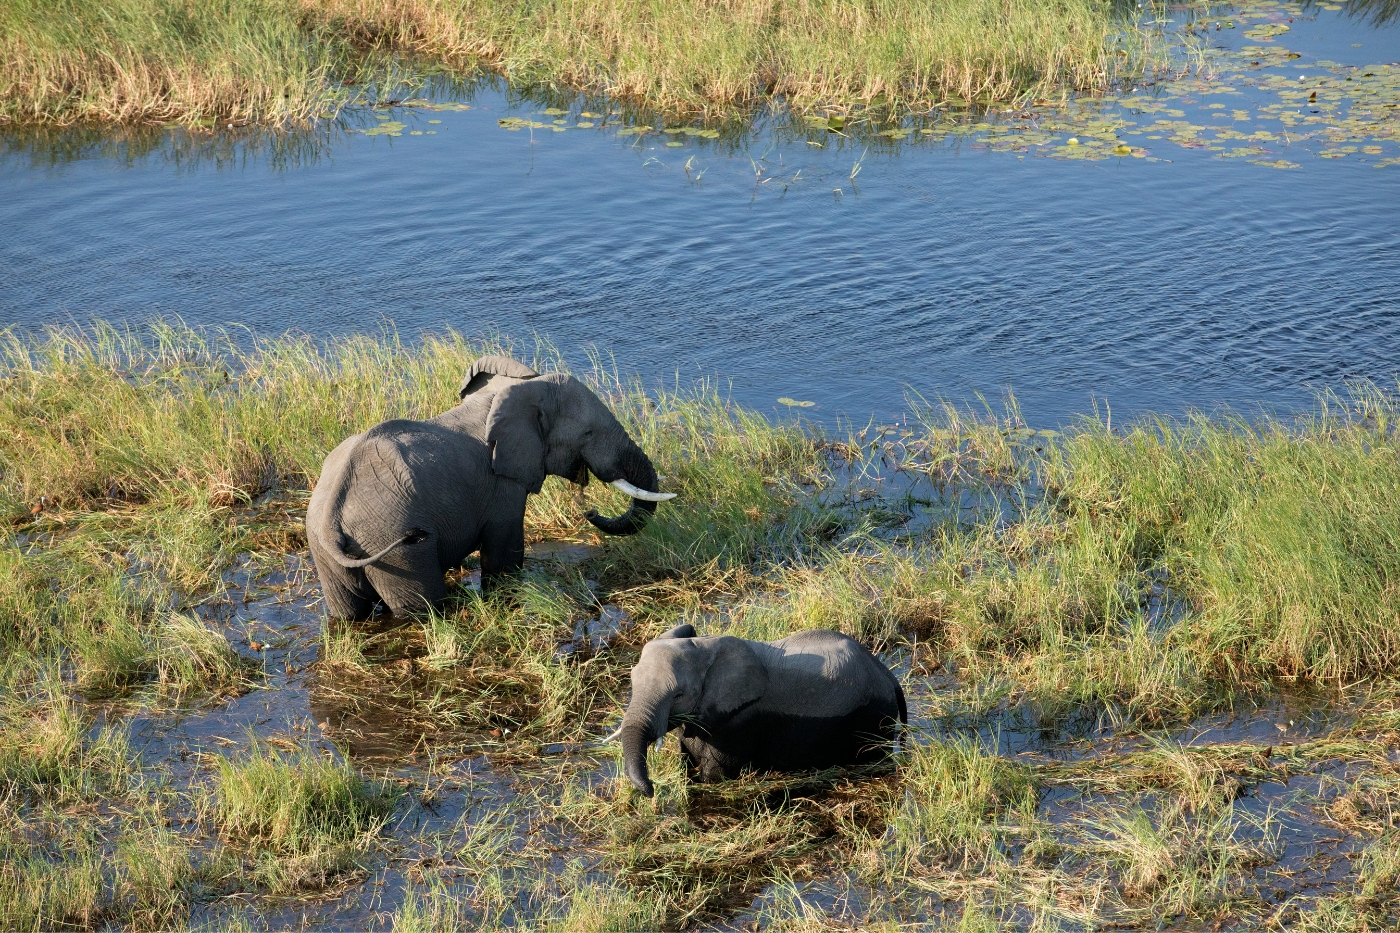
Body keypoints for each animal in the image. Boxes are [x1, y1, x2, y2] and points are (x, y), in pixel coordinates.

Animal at [306, 355, 674, 619]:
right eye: (587, 434)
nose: (590, 511)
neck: (510, 395)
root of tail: (331, 519)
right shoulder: (502, 486)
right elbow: (504, 556)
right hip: (392, 544)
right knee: (420, 608)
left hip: (328, 549)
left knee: (348, 613)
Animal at [618, 624, 907, 797]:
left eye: (678, 695)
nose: (651, 791)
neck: (704, 646)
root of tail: (888, 676)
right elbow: (686, 758)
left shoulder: (739, 721)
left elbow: (715, 775)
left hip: (872, 718)